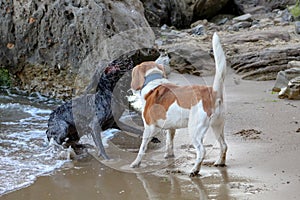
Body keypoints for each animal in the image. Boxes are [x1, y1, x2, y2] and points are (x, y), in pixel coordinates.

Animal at [129, 32, 227, 177]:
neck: (154, 81)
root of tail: (213, 92)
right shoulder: (171, 128)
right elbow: (169, 142)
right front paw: (168, 157)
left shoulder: (149, 127)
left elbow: (142, 148)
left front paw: (136, 163)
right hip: (217, 127)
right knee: (224, 146)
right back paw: (220, 162)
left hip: (195, 130)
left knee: (202, 151)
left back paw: (195, 170)